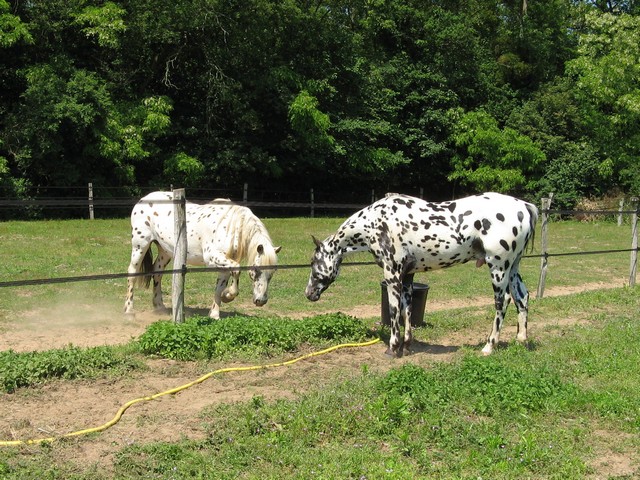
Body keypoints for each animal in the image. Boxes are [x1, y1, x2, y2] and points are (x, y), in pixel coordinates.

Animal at [124, 191, 281, 319]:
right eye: (256, 270)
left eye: (272, 273)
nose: (261, 301)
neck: (233, 227)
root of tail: (143, 200)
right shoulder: (213, 258)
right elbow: (237, 269)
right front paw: (228, 296)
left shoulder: (224, 264)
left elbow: (219, 287)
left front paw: (215, 314)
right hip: (140, 245)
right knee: (132, 272)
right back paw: (129, 310)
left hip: (165, 250)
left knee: (157, 272)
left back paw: (159, 307)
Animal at [305, 192, 538, 357]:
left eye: (313, 261)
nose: (309, 293)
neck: (377, 221)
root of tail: (525, 207)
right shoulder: (407, 277)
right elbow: (407, 310)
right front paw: (407, 346)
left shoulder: (392, 274)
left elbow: (394, 311)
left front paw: (393, 348)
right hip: (512, 267)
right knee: (522, 297)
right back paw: (521, 340)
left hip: (498, 267)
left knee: (502, 301)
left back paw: (489, 346)